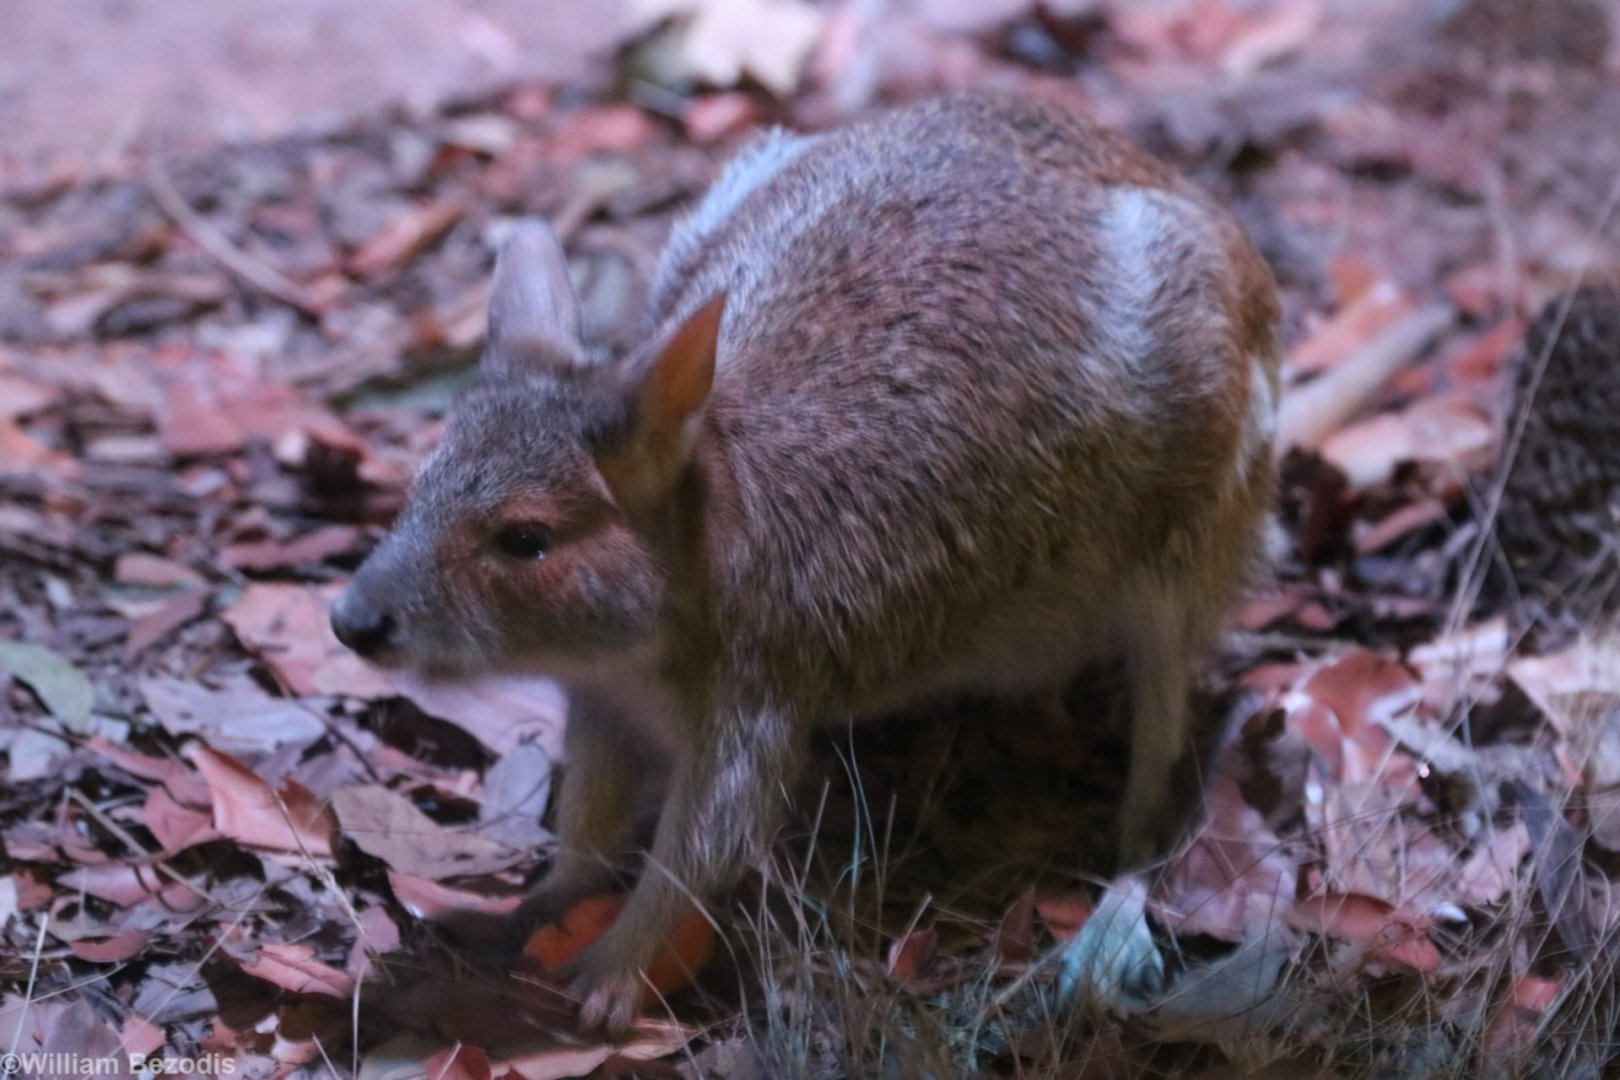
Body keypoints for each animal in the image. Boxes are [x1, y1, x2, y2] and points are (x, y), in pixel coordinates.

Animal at [330, 91, 1282, 1031]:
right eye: (417, 484)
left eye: (525, 539)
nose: (349, 621)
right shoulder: (602, 700)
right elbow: (589, 819)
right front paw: (538, 902)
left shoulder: (752, 707)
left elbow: (696, 855)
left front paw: (607, 978)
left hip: (1195, 523)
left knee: (1158, 778)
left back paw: (1111, 927)